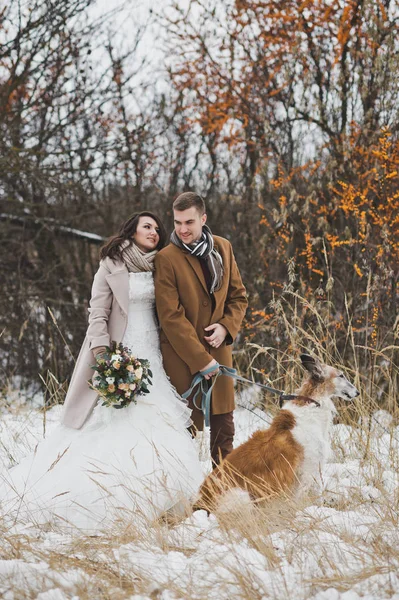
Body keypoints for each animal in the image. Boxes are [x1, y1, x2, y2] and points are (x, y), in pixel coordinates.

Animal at [195, 354, 360, 512]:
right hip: (242, 495)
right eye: (341, 375)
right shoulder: (308, 470)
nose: (357, 392)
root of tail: (199, 502)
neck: (312, 404)